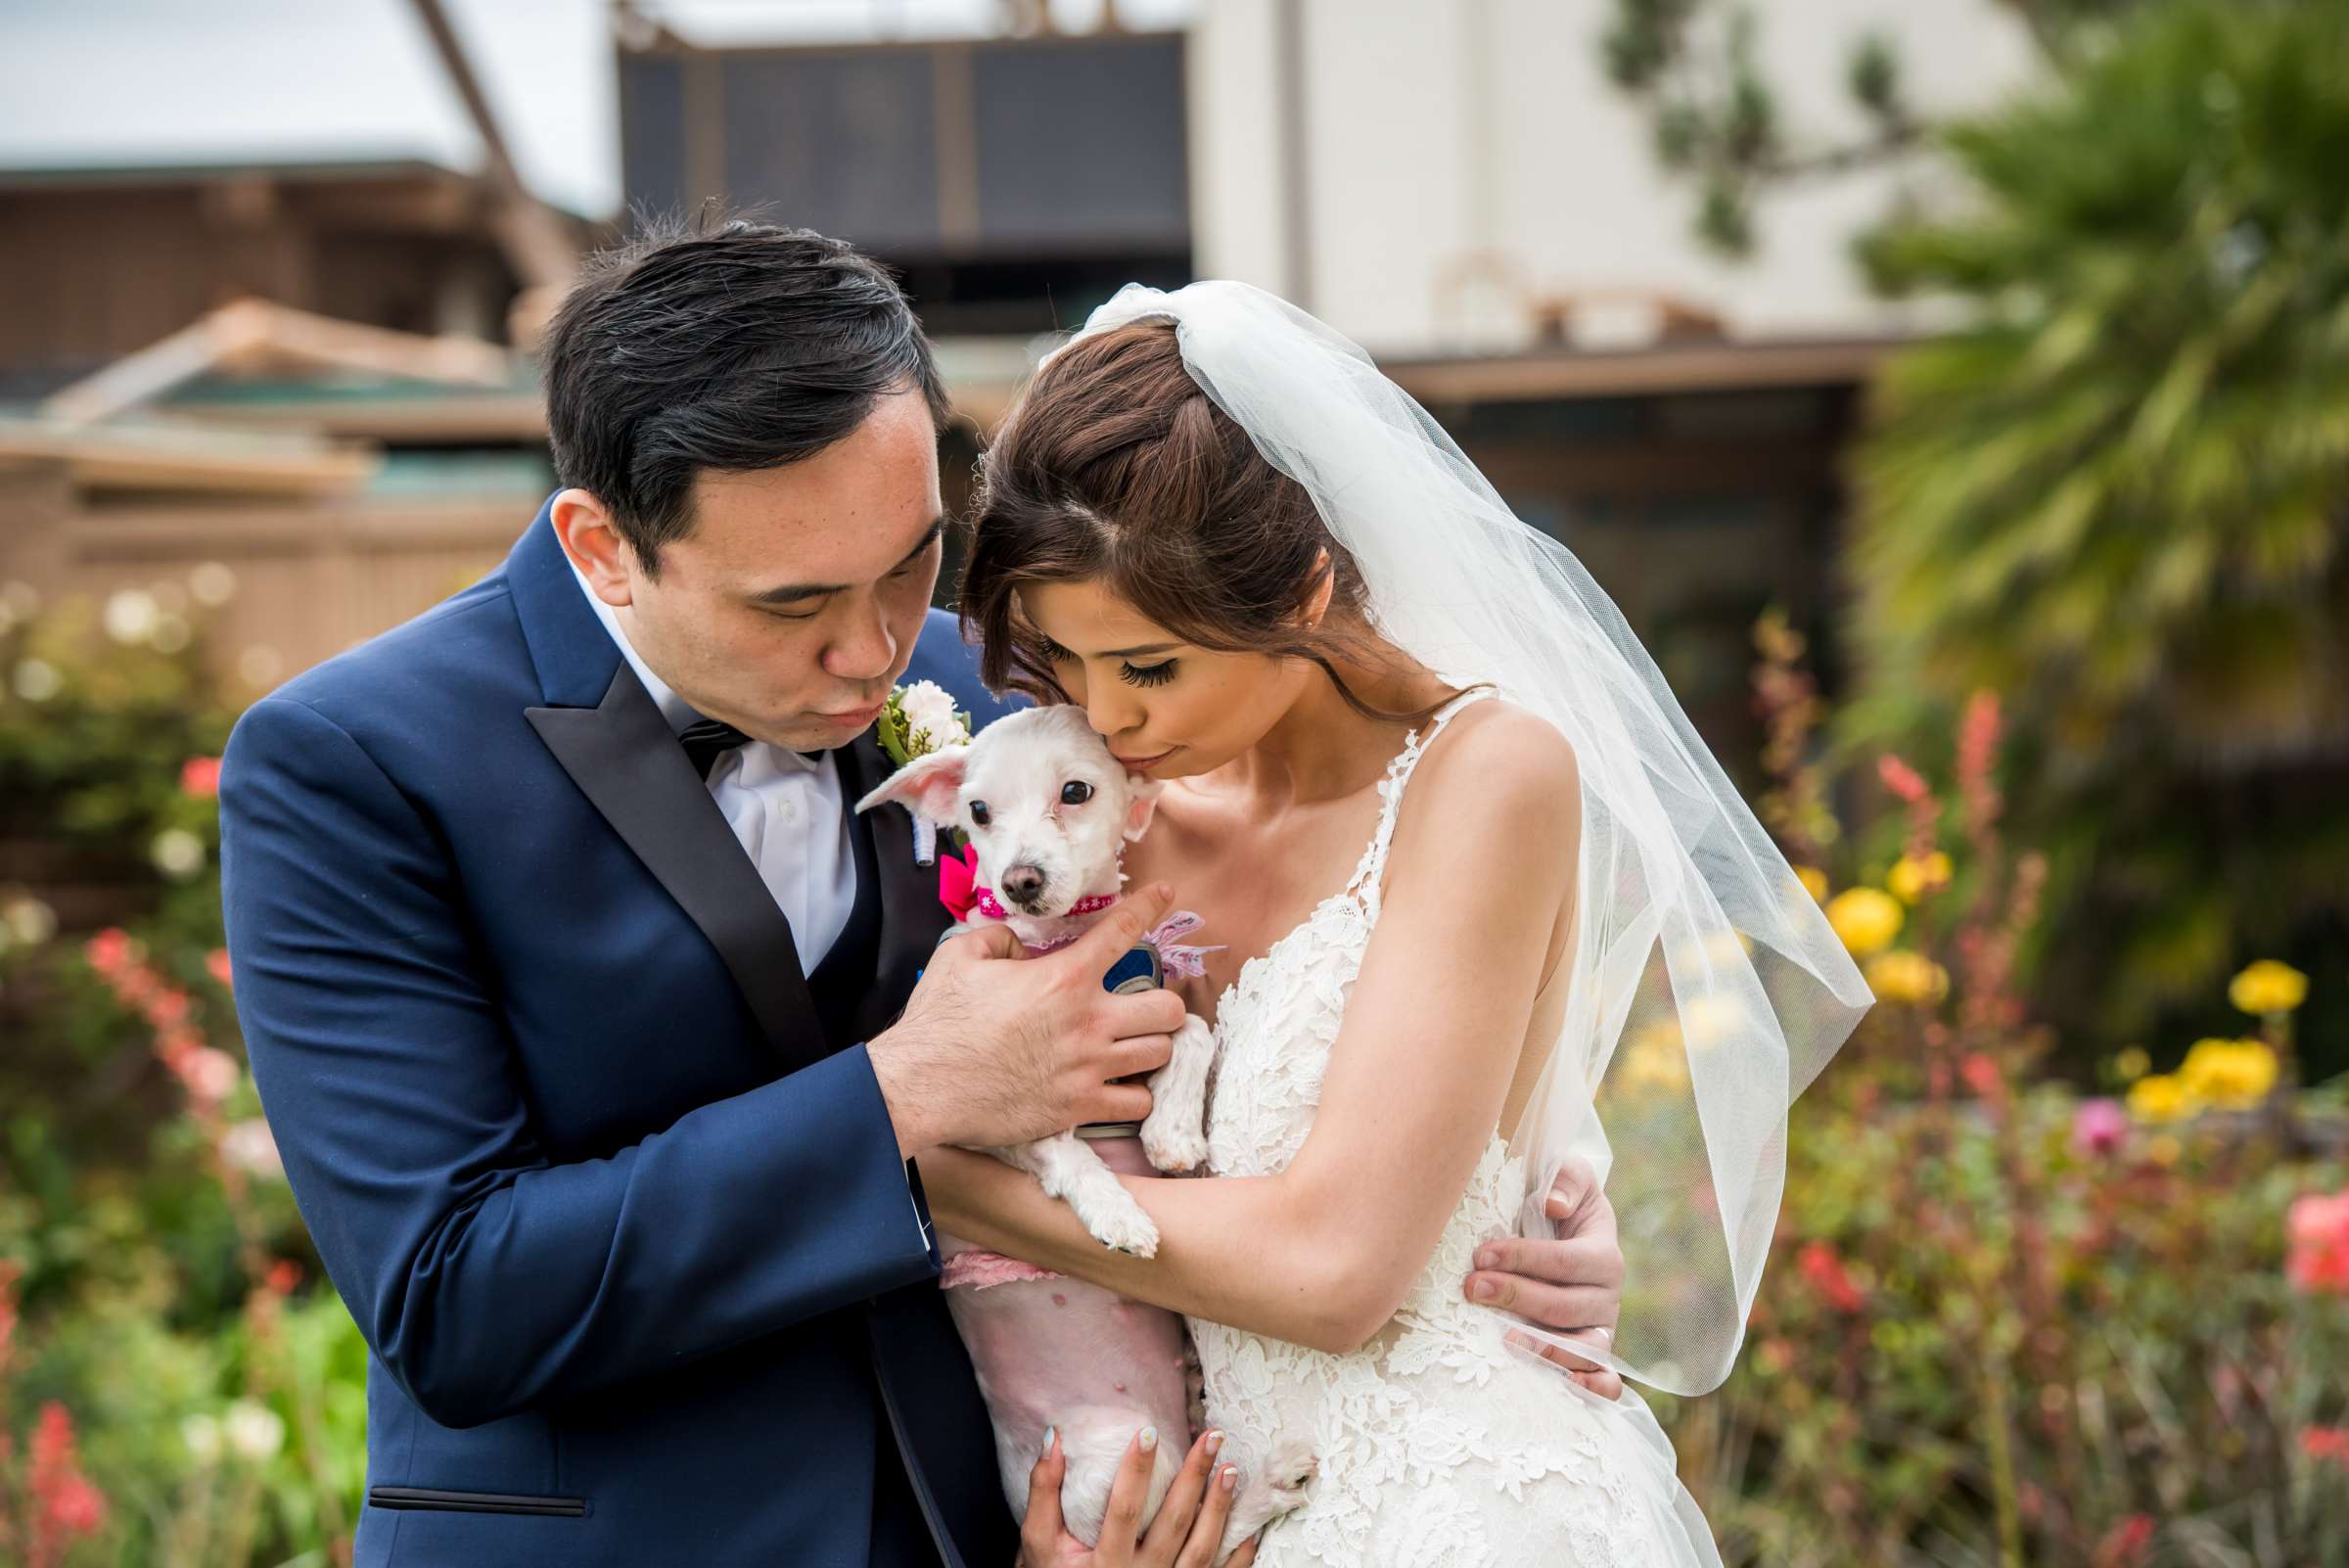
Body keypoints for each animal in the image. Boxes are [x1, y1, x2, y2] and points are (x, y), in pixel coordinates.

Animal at [854, 704, 1221, 1258]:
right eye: (978, 810)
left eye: (1075, 791)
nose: (1019, 881)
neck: (1057, 941)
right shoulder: (979, 1124)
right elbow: (1055, 1144)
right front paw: (1114, 1208)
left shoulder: (1143, 999)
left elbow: (1194, 1029)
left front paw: (1173, 1131)